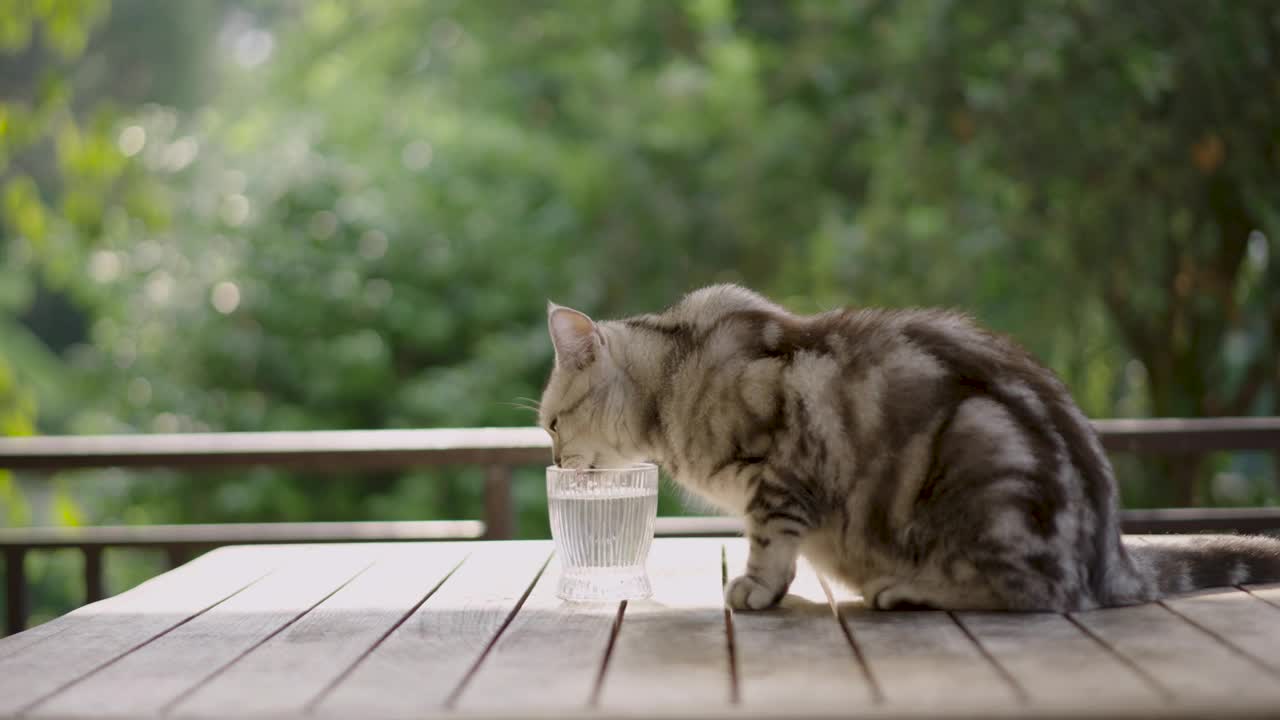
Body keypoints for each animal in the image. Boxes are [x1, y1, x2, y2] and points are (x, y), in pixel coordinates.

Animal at [537, 283, 1280, 607]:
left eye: (548, 426)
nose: (551, 460)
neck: (676, 368)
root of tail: (1109, 550)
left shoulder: (781, 474)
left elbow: (770, 543)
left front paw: (756, 589)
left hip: (980, 460)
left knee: (1037, 592)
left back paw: (907, 590)